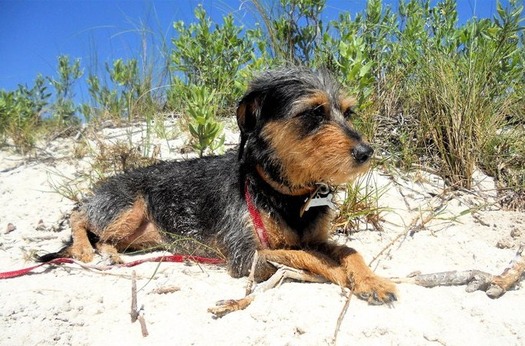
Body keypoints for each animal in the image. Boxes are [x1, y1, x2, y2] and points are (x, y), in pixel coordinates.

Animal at [40, 67, 392, 308]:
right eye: (314, 113)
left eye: (347, 112)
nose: (367, 152)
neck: (282, 192)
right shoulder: (246, 255)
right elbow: (308, 256)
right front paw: (342, 275)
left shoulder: (314, 238)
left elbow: (347, 251)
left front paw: (371, 280)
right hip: (124, 207)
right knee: (79, 215)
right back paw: (85, 248)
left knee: (104, 237)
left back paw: (110, 252)